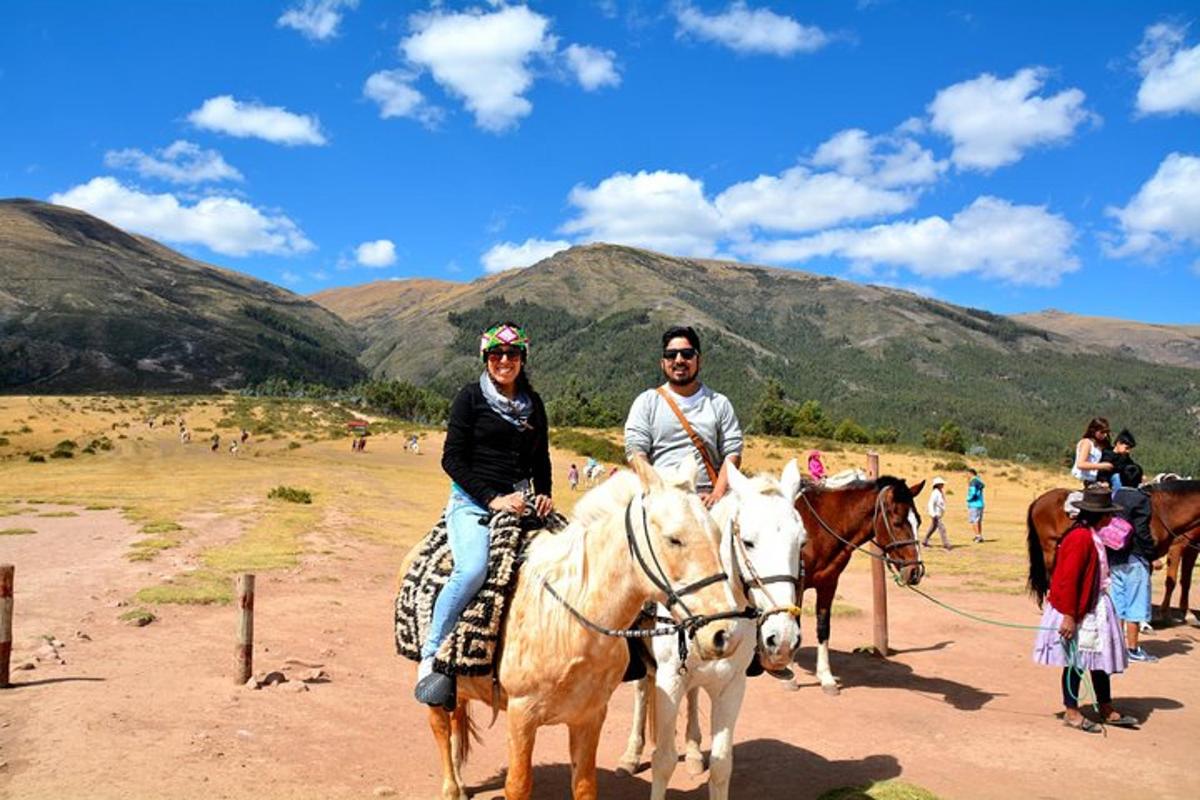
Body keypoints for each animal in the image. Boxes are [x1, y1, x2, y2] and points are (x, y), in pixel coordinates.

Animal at [412, 455, 744, 800]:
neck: (572, 619)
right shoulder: (521, 715)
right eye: (674, 539)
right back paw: (452, 788)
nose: (725, 634)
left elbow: (584, 785)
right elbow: (518, 785)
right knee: (440, 726)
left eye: (719, 535)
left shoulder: (590, 715)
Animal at [619, 460, 806, 796]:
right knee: (642, 692)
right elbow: (663, 760)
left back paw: (694, 753)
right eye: (748, 542)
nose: (783, 638)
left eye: (802, 542)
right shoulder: (670, 679)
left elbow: (721, 765)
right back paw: (631, 755)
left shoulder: (732, 685)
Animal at [792, 474, 921, 695]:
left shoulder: (828, 584)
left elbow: (823, 628)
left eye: (918, 521)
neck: (816, 530)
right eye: (897, 523)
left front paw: (826, 678)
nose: (915, 571)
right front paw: (789, 675)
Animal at [1022, 479, 1200, 618]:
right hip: (1049, 547)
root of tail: (1039, 500)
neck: (1164, 510)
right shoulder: (1165, 551)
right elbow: (1169, 581)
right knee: (1051, 574)